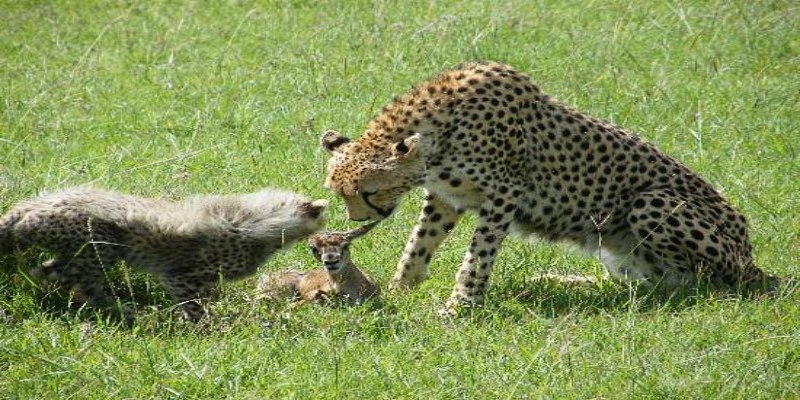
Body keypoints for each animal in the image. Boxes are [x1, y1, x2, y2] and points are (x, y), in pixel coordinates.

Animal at [0, 186, 327, 322]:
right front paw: (211, 329)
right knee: (82, 281)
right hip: (101, 245)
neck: (263, 219)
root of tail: (28, 206)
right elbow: (195, 308)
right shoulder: (179, 276)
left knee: (47, 271)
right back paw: (125, 311)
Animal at [320, 61, 776, 315]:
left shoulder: (504, 193)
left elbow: (477, 256)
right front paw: (400, 291)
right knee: (646, 283)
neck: (439, 129)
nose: (358, 220)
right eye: (340, 194)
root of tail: (752, 259)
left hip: (653, 203)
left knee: (698, 285)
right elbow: (418, 245)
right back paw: (560, 281)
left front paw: (460, 306)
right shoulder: (445, 198)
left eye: (365, 192)